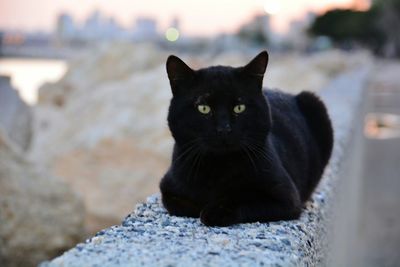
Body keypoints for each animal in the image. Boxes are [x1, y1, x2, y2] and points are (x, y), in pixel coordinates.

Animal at [159, 51, 334, 227]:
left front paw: (215, 210)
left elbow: (243, 200)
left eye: (239, 108)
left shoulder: (286, 198)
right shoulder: (169, 188)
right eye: (203, 108)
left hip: (315, 103)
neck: (219, 166)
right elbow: (184, 204)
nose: (224, 129)